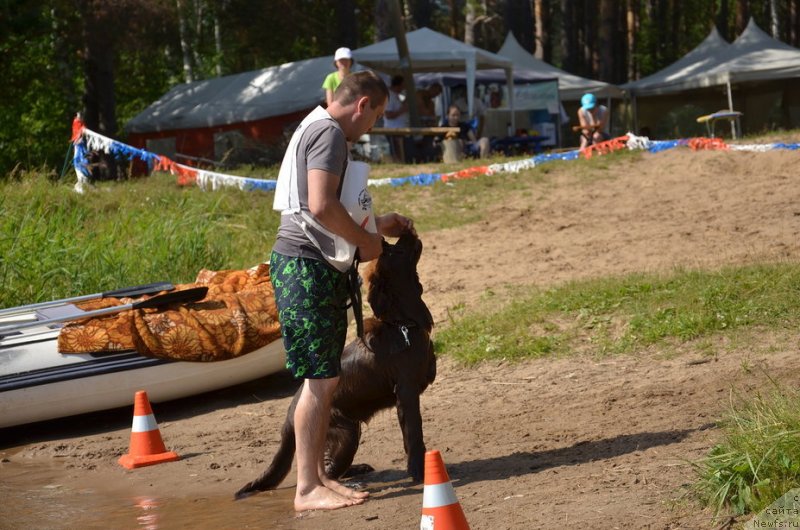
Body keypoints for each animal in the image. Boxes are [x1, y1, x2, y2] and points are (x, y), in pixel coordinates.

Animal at [234, 229, 438, 498]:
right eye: (393, 252)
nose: (400, 233)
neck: (403, 324)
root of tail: (289, 417)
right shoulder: (406, 392)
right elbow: (414, 436)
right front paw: (420, 471)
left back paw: (357, 470)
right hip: (345, 431)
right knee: (325, 472)